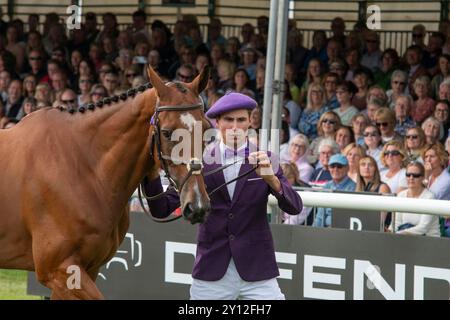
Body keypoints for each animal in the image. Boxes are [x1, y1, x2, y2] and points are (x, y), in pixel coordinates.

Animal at [0, 66, 212, 298]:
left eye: (206, 130)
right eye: (166, 132)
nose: (197, 204)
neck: (81, 168)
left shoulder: (87, 270)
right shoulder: (58, 270)